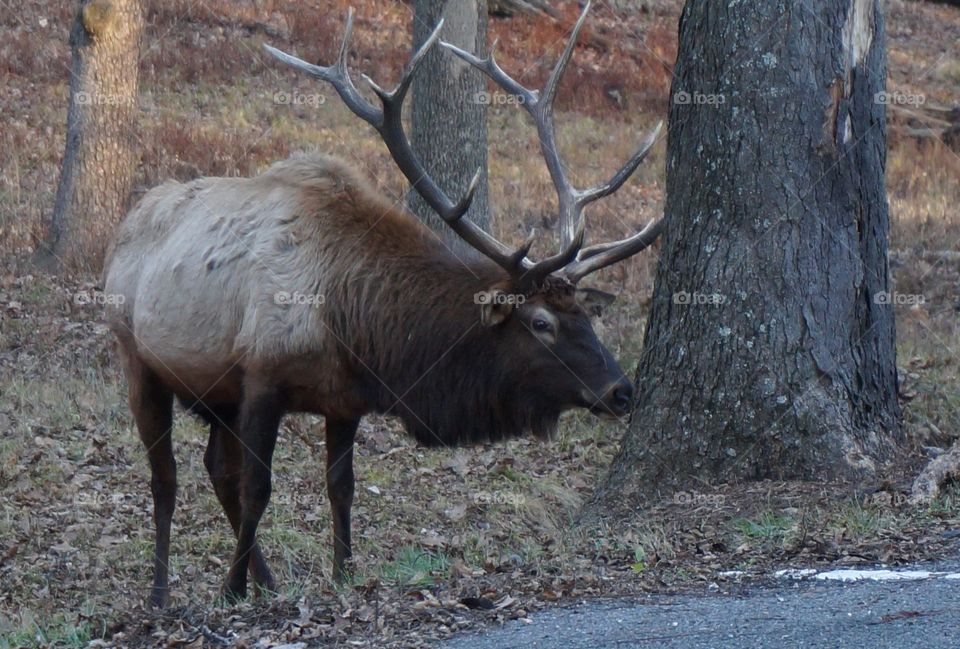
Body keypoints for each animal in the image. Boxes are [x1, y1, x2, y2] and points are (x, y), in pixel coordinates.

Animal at [103, 2, 660, 604]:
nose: (622, 391)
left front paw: (343, 574)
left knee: (213, 467)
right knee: (167, 477)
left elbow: (340, 488)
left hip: (215, 390)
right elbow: (258, 487)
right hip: (138, 358)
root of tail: (123, 228)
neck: (354, 325)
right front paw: (231, 591)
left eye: (584, 313)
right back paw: (162, 593)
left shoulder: (344, 399)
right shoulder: (261, 375)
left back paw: (266, 580)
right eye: (540, 322)